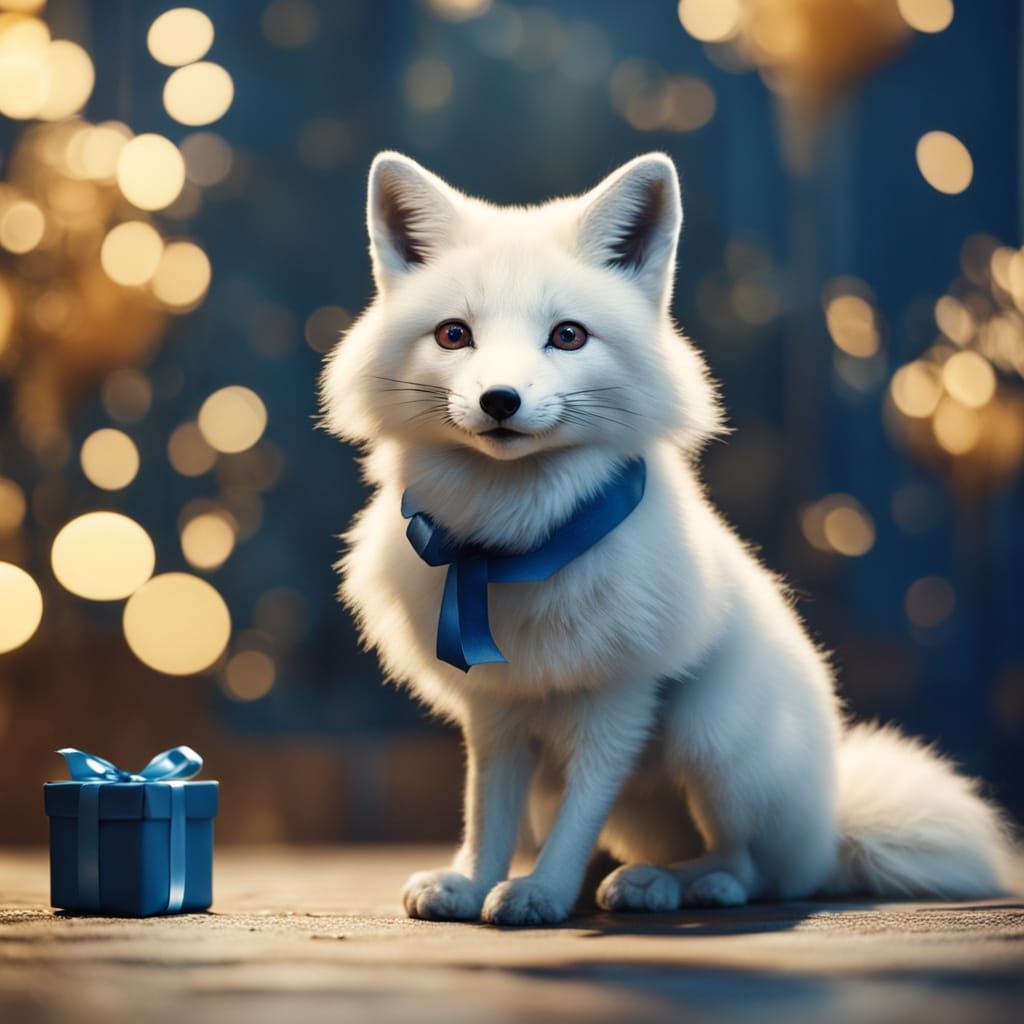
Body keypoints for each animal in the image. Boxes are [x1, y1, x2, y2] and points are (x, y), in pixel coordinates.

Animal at [320, 150, 1018, 925]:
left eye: (568, 335)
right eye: (453, 334)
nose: (500, 400)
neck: (517, 545)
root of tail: (828, 825)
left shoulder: (620, 699)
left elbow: (576, 820)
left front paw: (541, 893)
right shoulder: (498, 712)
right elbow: (487, 815)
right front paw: (474, 884)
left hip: (709, 740)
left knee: (753, 871)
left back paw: (666, 884)